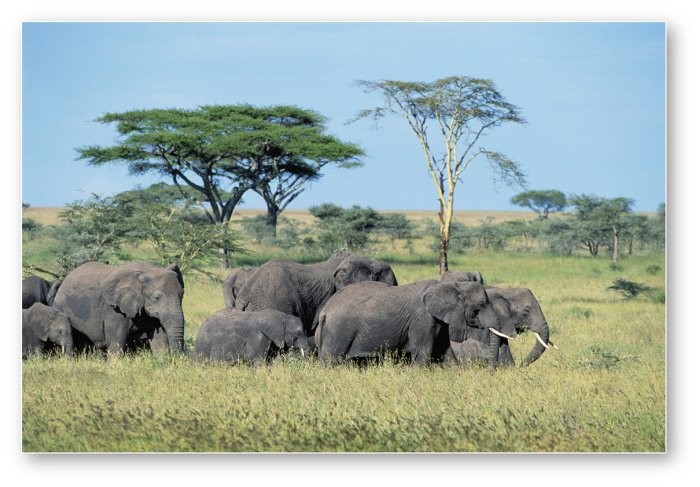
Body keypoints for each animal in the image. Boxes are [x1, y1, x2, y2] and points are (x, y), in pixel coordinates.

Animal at [53, 261, 185, 354]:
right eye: (156, 298)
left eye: (182, 295)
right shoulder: (113, 308)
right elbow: (117, 341)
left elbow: (159, 339)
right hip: (62, 308)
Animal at [315, 279, 510, 365]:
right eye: (480, 306)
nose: (491, 370)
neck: (452, 285)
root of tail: (326, 310)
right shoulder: (422, 318)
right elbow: (423, 352)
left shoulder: (438, 321)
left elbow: (445, 350)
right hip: (339, 329)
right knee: (331, 359)